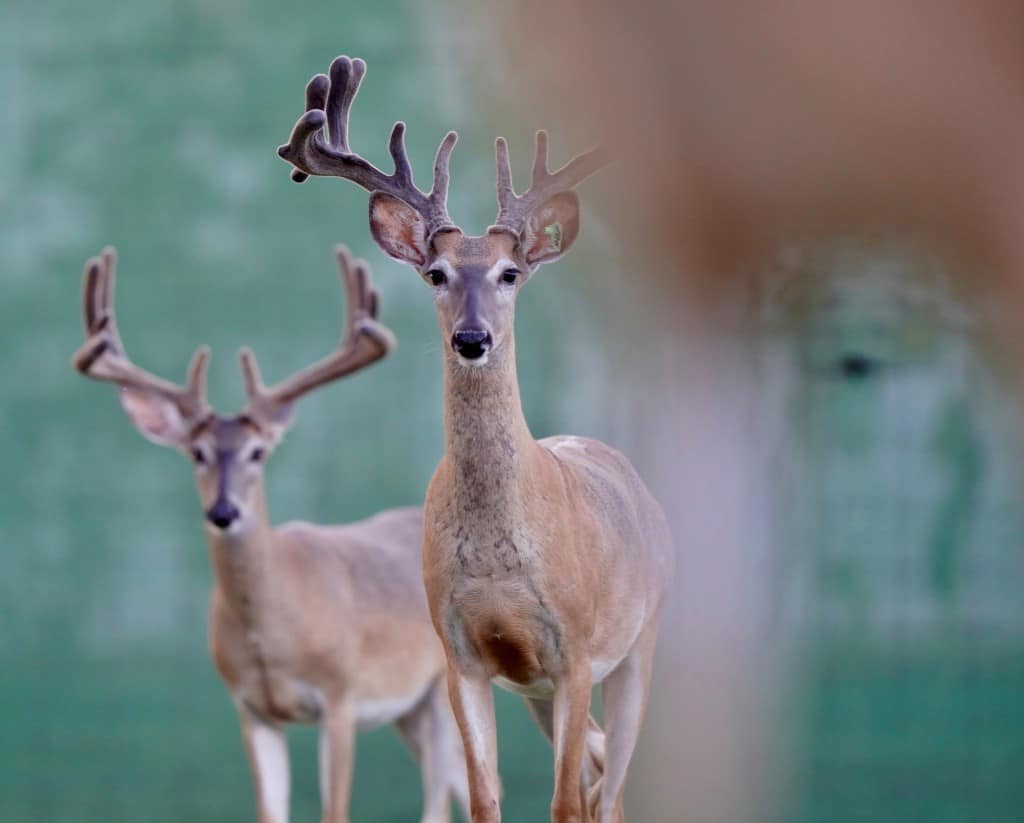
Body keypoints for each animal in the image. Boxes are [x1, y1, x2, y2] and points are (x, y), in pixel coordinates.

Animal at [71, 245, 470, 823]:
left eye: (258, 452)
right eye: (197, 453)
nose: (223, 511)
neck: (274, 631)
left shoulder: (340, 695)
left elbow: (335, 811)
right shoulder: (251, 706)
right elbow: (270, 810)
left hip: (441, 685)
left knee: (446, 798)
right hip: (411, 710)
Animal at [277, 56, 675, 823]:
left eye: (509, 273)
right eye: (436, 273)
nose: (471, 337)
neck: (498, 557)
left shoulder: (575, 646)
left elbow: (563, 805)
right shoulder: (459, 649)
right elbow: (487, 797)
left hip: (639, 644)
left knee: (607, 790)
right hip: (543, 690)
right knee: (599, 772)